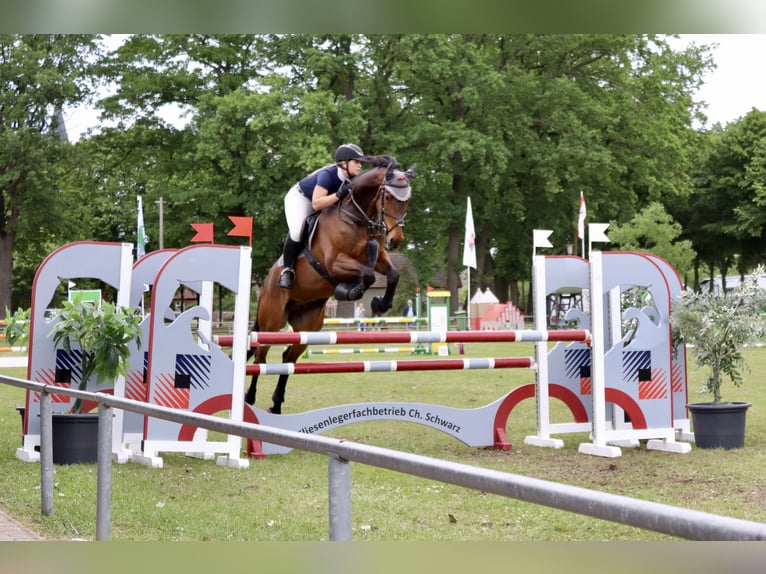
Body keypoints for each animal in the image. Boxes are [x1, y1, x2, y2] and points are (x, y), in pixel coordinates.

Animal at [246, 155, 416, 412]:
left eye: (407, 200)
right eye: (387, 197)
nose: (395, 240)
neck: (357, 216)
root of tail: (266, 284)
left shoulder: (377, 258)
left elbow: (392, 275)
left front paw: (379, 304)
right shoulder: (335, 262)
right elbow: (367, 275)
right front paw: (350, 290)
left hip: (307, 327)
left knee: (288, 358)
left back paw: (276, 404)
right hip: (272, 321)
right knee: (260, 357)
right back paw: (249, 398)